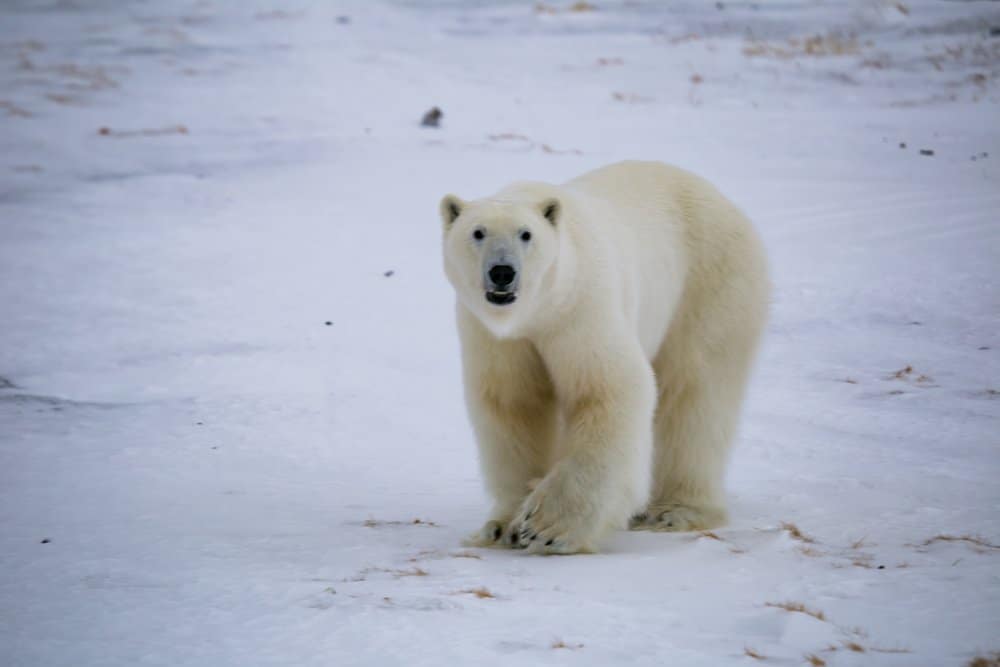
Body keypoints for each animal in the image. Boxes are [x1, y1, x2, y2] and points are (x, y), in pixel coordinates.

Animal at [442, 160, 768, 552]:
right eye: (478, 232)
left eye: (526, 234)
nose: (502, 272)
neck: (539, 310)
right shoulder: (496, 337)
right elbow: (513, 405)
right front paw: (502, 525)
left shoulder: (582, 307)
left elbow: (608, 389)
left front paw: (549, 525)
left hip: (710, 284)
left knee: (696, 394)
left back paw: (674, 511)